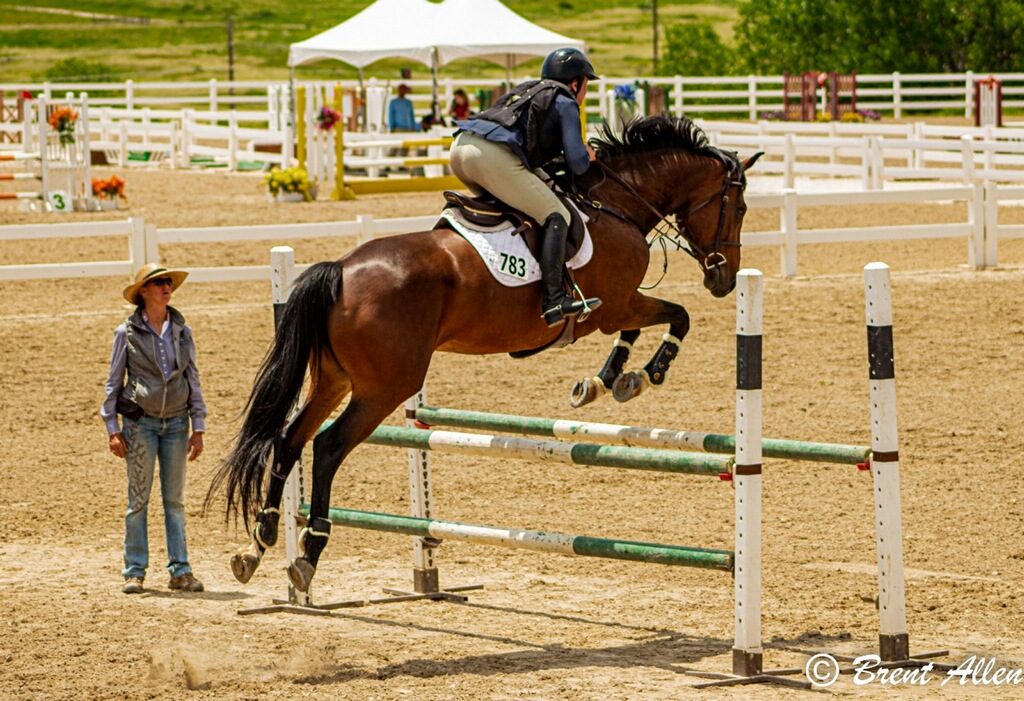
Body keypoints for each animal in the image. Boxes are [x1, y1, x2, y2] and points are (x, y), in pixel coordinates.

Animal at [207, 114, 762, 593]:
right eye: (739, 209)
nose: (723, 278)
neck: (616, 204)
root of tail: (340, 271)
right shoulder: (617, 304)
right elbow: (677, 317)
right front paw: (646, 374)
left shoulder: (619, 307)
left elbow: (639, 332)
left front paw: (603, 383)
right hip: (386, 387)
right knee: (326, 447)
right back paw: (307, 552)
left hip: (334, 378)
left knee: (289, 439)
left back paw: (258, 544)